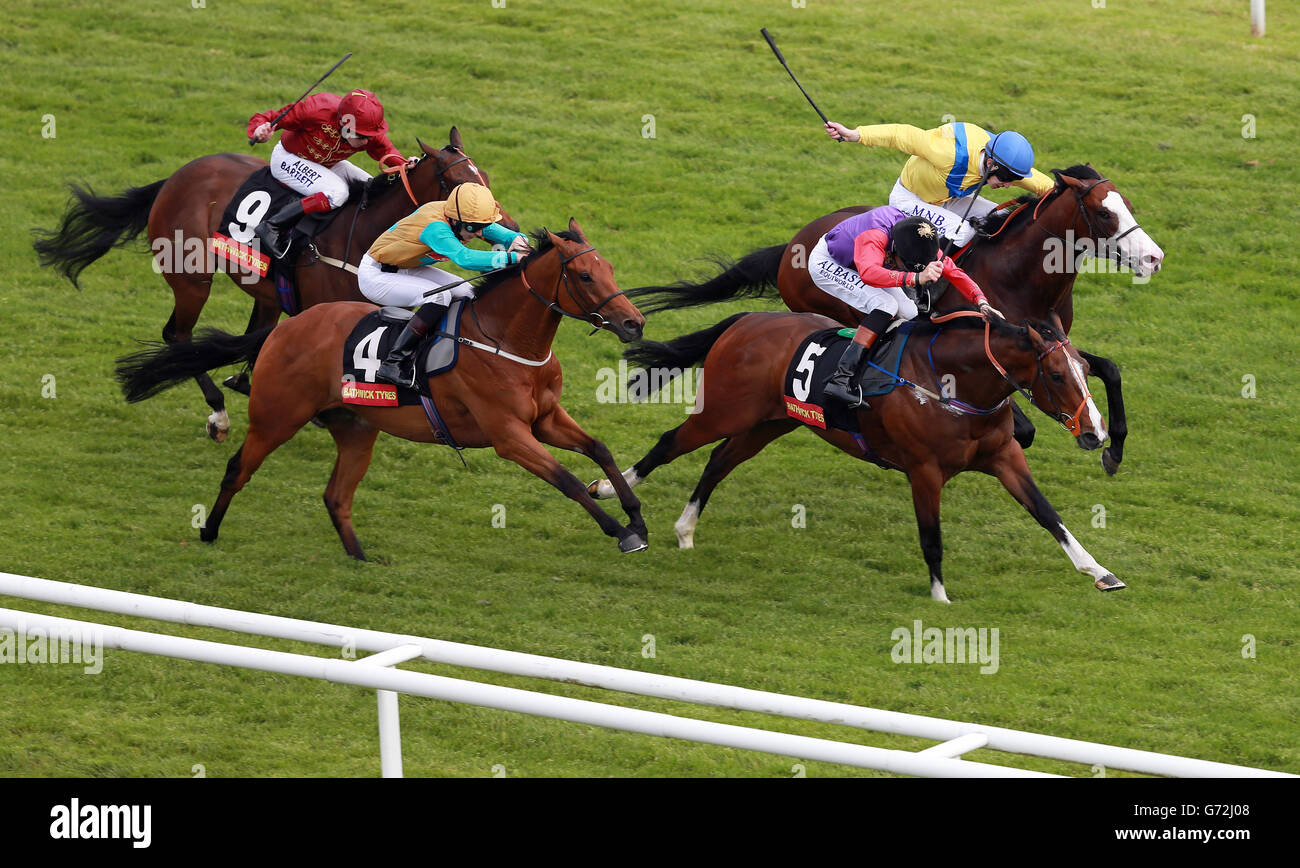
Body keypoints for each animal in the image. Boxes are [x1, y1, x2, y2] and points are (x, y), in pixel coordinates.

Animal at [30, 123, 506, 441]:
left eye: (483, 177)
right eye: (456, 180)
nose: (501, 222)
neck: (359, 234)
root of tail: (178, 176)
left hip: (266, 294)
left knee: (251, 334)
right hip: (192, 277)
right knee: (177, 334)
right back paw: (218, 414)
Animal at [114, 223, 650, 558]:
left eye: (610, 269)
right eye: (585, 275)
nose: (634, 323)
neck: (506, 339)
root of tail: (284, 330)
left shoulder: (545, 418)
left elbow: (599, 450)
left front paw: (637, 519)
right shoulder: (509, 435)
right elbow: (567, 479)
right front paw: (622, 533)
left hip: (356, 428)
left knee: (336, 496)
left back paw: (361, 558)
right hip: (276, 417)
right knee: (237, 470)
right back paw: (208, 531)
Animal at [592, 307, 1128, 600]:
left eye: (1085, 369)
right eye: (1055, 374)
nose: (1095, 434)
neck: (951, 384)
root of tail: (748, 319)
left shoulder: (1004, 459)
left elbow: (1049, 516)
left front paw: (1100, 572)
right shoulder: (924, 471)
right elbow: (931, 538)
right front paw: (939, 597)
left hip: (771, 422)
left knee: (720, 460)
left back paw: (685, 529)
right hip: (724, 411)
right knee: (671, 442)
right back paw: (609, 489)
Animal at [624, 162, 1164, 475]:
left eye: (1128, 204)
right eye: (1103, 214)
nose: (1154, 258)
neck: (1020, 274)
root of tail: (792, 246)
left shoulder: (1045, 339)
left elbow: (1108, 368)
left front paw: (1114, 447)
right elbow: (1022, 424)